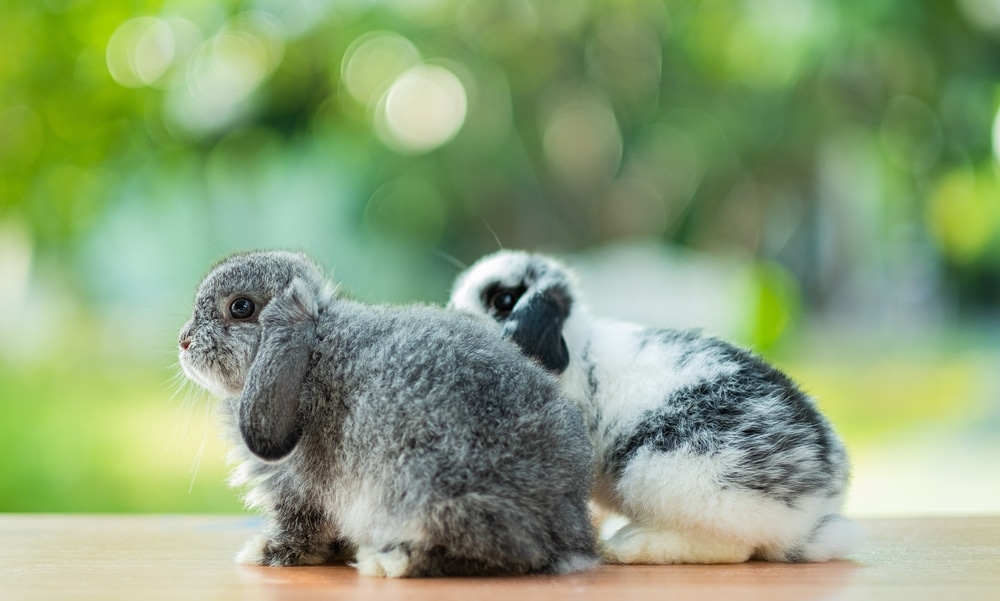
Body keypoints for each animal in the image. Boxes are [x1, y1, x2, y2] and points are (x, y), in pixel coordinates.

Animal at [177, 250, 596, 576]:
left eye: (241, 307)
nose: (183, 341)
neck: (311, 351)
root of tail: (563, 534)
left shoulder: (297, 488)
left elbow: (299, 527)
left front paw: (266, 553)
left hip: (418, 483)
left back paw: (391, 562)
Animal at [450, 248, 864, 564]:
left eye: (503, 301)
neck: (577, 349)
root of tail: (813, 512)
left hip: (663, 473)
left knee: (730, 548)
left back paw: (627, 546)